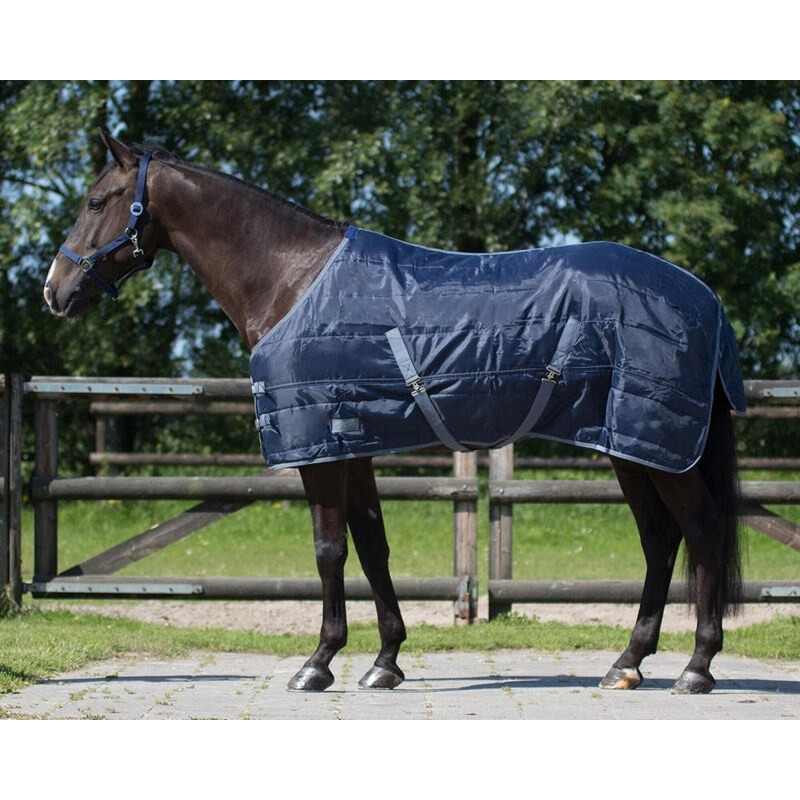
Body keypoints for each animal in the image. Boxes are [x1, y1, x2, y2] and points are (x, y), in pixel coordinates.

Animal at [44, 130, 744, 694]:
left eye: (97, 202)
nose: (55, 290)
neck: (292, 280)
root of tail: (703, 296)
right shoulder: (351, 443)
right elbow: (372, 546)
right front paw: (384, 661)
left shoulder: (319, 447)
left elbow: (329, 549)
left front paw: (318, 663)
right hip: (628, 443)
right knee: (661, 541)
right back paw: (627, 664)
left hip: (660, 444)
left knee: (704, 531)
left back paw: (696, 668)